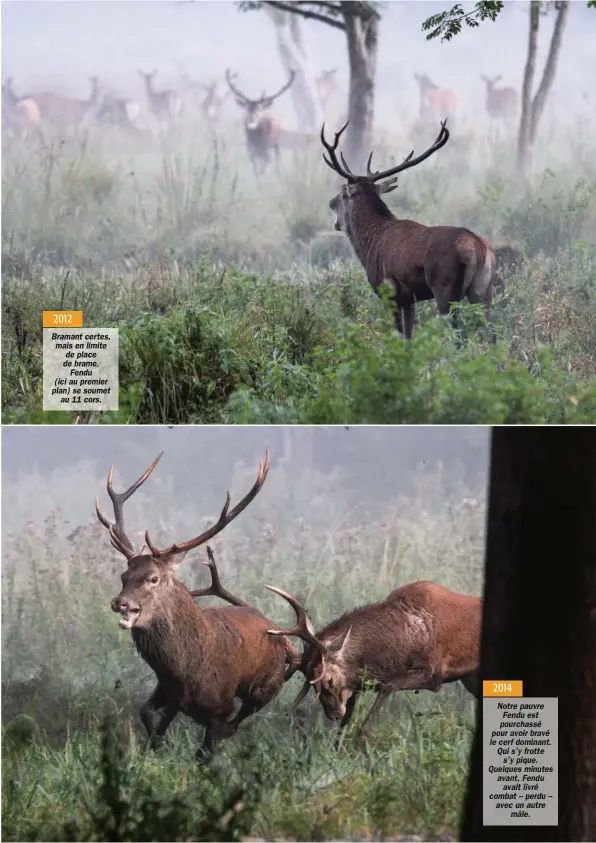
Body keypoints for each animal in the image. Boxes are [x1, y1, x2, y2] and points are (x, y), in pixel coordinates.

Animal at [98, 452, 300, 760]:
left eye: (154, 578)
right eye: (124, 576)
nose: (120, 603)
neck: (184, 669)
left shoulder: (219, 707)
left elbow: (206, 749)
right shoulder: (166, 690)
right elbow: (148, 714)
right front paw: (156, 746)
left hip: (267, 685)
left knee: (243, 715)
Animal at [266, 584, 480, 740]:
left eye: (328, 680)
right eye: (311, 682)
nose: (333, 714)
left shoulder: (434, 673)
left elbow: (388, 686)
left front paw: (362, 736)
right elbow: (348, 718)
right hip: (470, 679)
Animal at [322, 122, 498, 340]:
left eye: (343, 194)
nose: (330, 202)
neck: (369, 244)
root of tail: (478, 248)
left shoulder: (389, 292)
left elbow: (398, 336)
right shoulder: (409, 299)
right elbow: (408, 337)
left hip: (445, 288)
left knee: (456, 335)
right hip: (484, 289)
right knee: (492, 334)